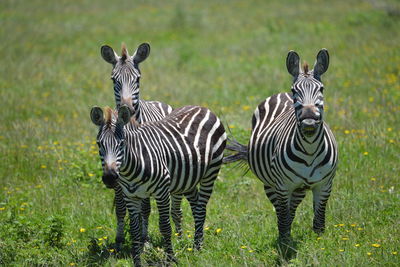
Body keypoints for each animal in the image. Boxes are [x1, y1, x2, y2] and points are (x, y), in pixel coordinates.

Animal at [91, 105, 228, 266]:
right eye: (99, 144)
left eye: (122, 143)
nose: (110, 178)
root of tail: (202, 107)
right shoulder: (131, 196)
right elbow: (135, 230)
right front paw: (137, 261)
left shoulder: (162, 192)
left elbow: (165, 226)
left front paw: (171, 258)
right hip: (187, 179)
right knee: (195, 206)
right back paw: (196, 242)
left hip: (211, 171)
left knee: (201, 209)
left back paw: (197, 248)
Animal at [100, 43, 172, 250]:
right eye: (113, 79)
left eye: (138, 78)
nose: (128, 108)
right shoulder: (117, 177)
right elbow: (121, 209)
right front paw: (119, 240)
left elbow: (145, 208)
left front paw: (144, 239)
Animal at [225, 49, 338, 246]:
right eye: (295, 91)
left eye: (321, 89)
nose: (309, 121)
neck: (310, 151)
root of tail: (280, 93)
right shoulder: (283, 186)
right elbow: (283, 217)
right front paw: (284, 244)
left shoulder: (324, 185)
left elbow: (319, 220)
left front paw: (319, 244)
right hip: (271, 185)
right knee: (281, 211)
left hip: (298, 189)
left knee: (292, 208)